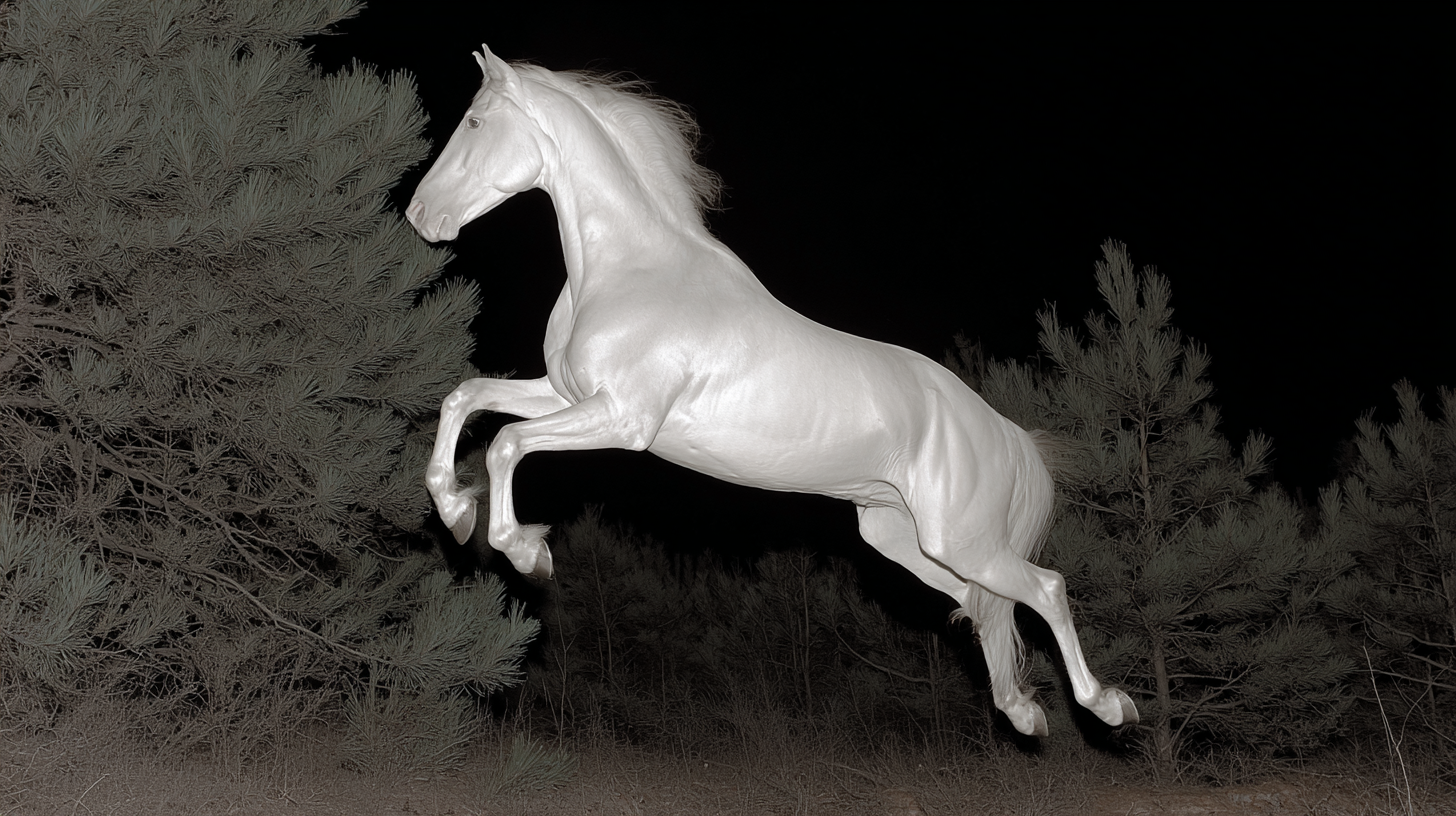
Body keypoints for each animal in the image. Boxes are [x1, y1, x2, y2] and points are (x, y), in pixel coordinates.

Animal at [405, 45, 1137, 737]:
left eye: (475, 122)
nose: (419, 215)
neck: (631, 271)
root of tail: (1000, 429)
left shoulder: (622, 420)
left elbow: (505, 443)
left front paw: (525, 550)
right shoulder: (567, 395)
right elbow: (466, 398)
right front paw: (456, 510)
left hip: (960, 540)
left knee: (1045, 589)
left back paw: (1105, 706)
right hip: (904, 539)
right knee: (987, 607)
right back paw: (1023, 712)